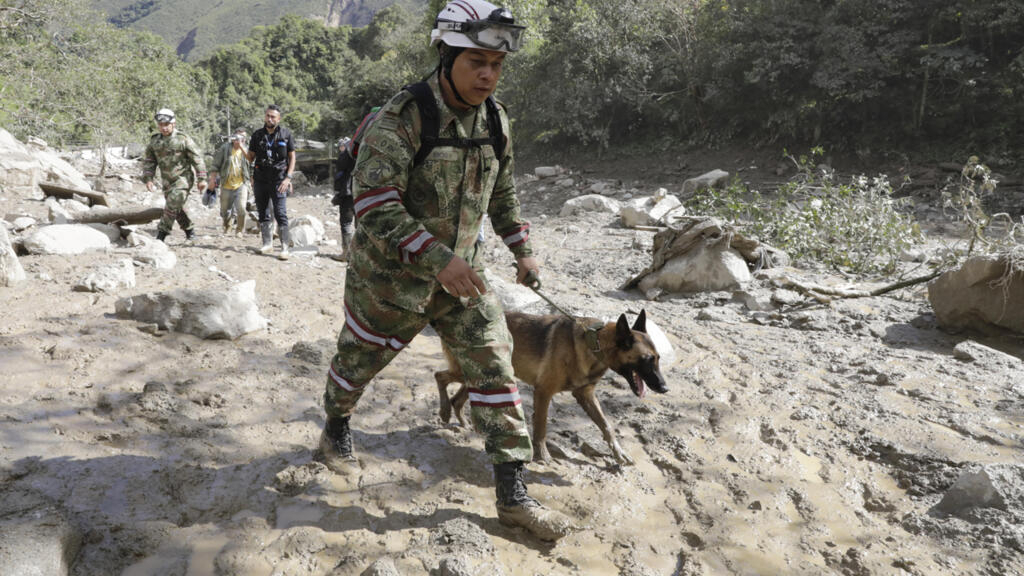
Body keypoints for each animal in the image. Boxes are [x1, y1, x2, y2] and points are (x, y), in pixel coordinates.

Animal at [430, 309, 663, 461]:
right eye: (647, 359)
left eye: (658, 358)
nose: (664, 388)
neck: (595, 344)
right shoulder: (543, 392)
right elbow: (541, 426)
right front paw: (542, 455)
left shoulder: (586, 395)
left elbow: (606, 426)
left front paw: (618, 452)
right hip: (469, 373)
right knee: (439, 376)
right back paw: (444, 411)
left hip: (484, 376)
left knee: (458, 397)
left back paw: (462, 420)